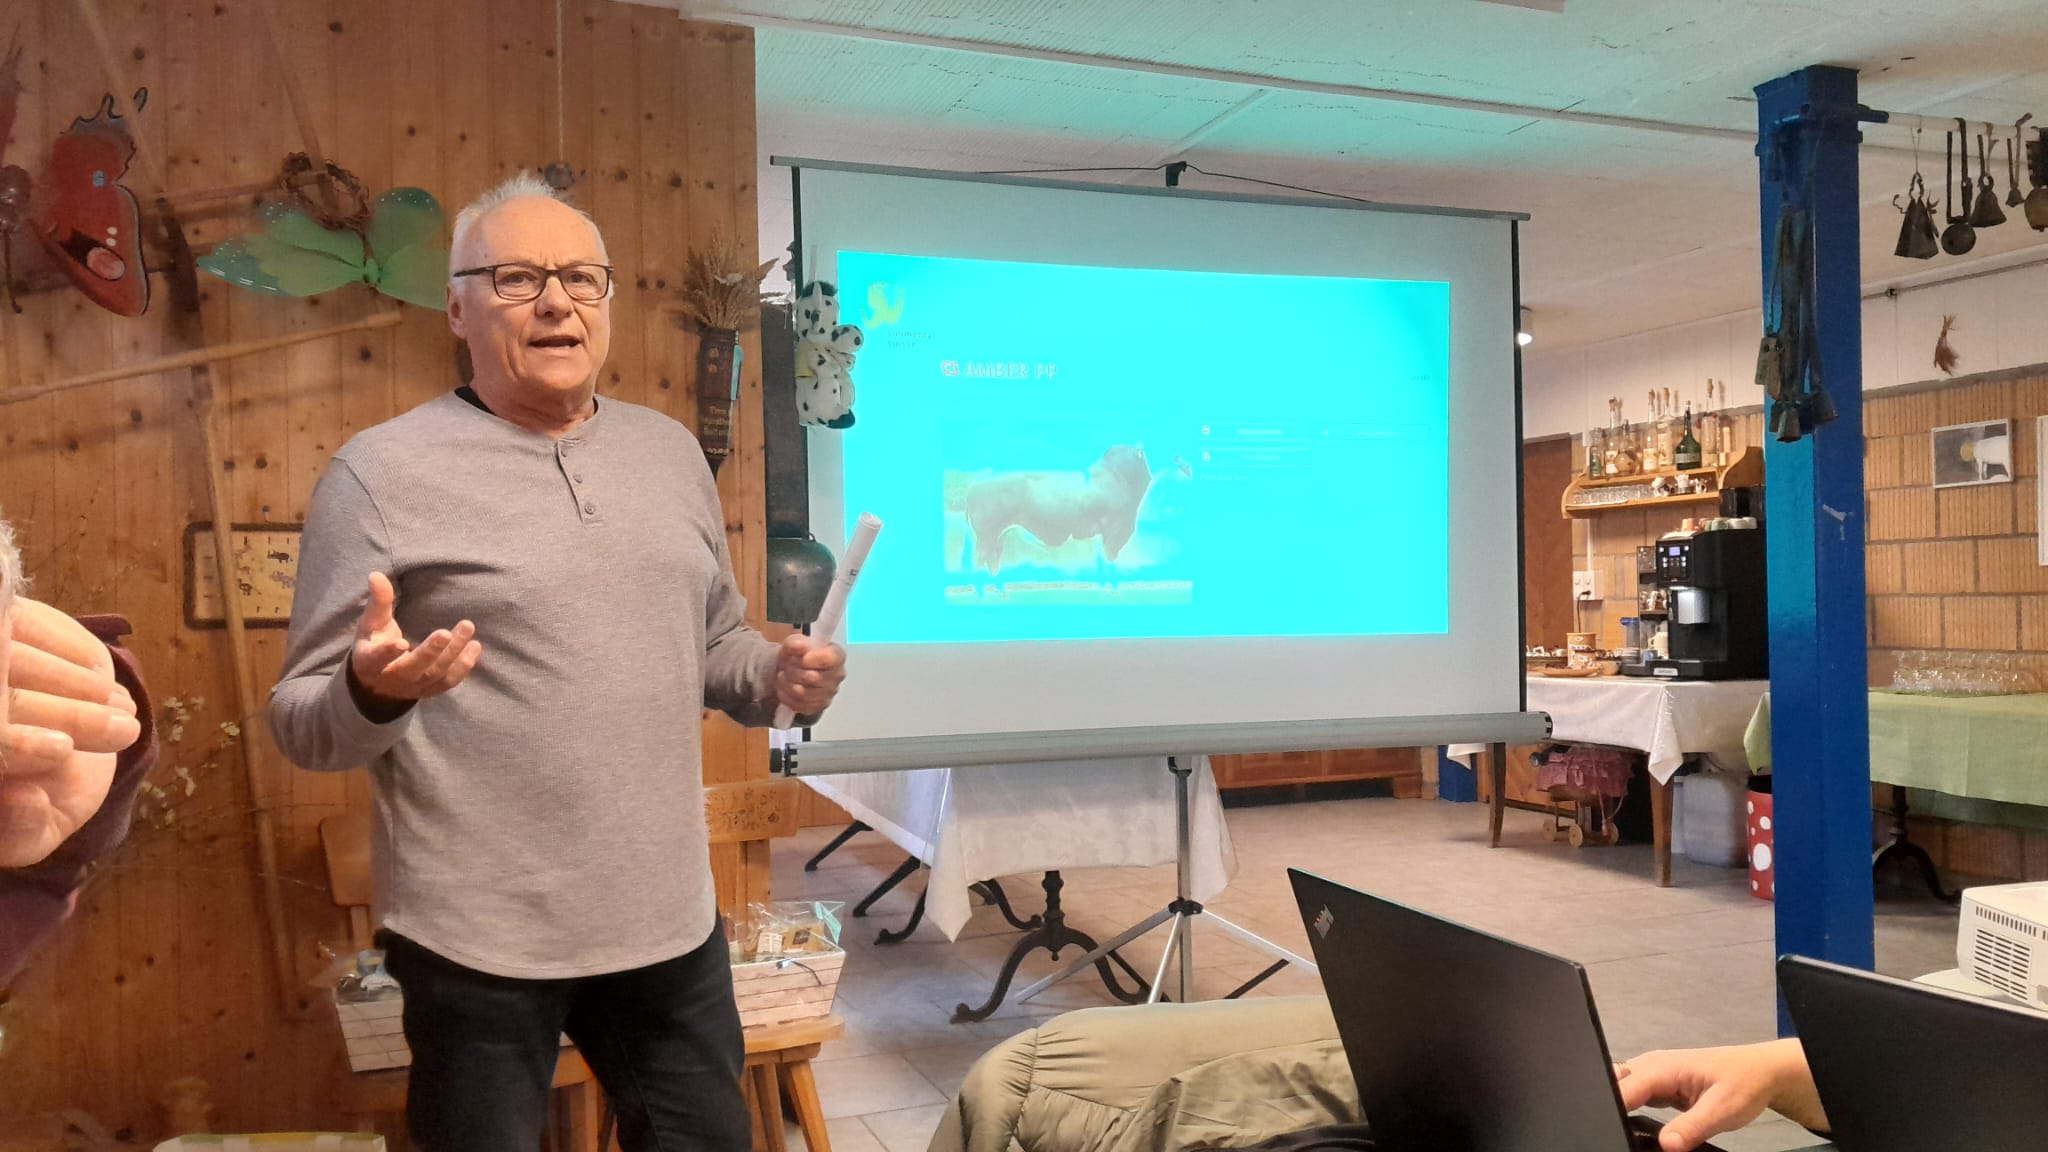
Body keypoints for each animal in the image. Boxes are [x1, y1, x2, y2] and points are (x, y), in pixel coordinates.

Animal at [951, 445, 1172, 591]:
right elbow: (1110, 557)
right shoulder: (1115, 530)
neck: (1117, 477)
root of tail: (974, 483)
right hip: (986, 534)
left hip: (997, 535)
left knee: (993, 559)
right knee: (979, 559)